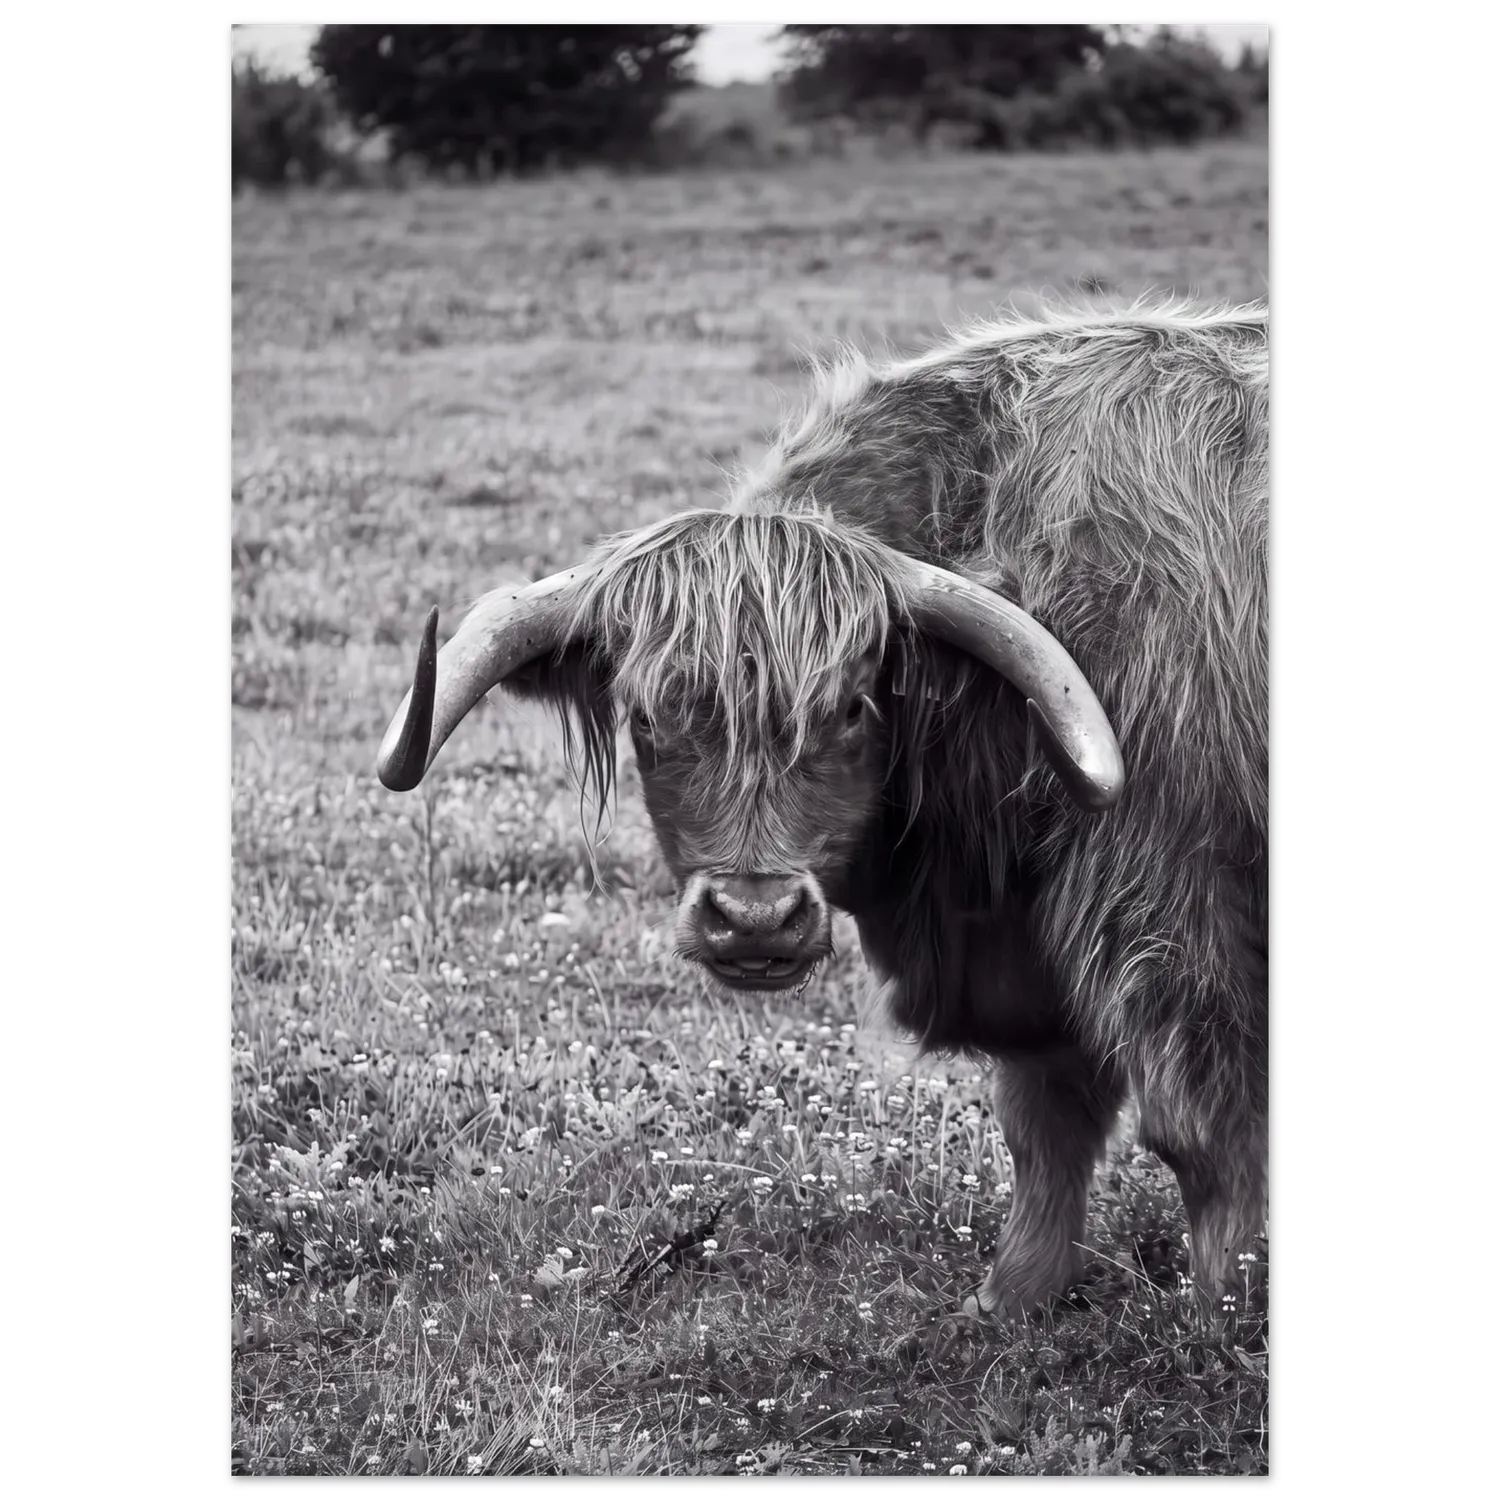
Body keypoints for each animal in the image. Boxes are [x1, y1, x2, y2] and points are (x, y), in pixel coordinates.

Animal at [376, 296, 1270, 1321]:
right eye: (646, 715)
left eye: (851, 706)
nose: (755, 918)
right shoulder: (1032, 955)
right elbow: (1044, 1118)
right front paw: (1010, 1298)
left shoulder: (1179, 909)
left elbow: (1200, 1133)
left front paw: (1224, 1312)